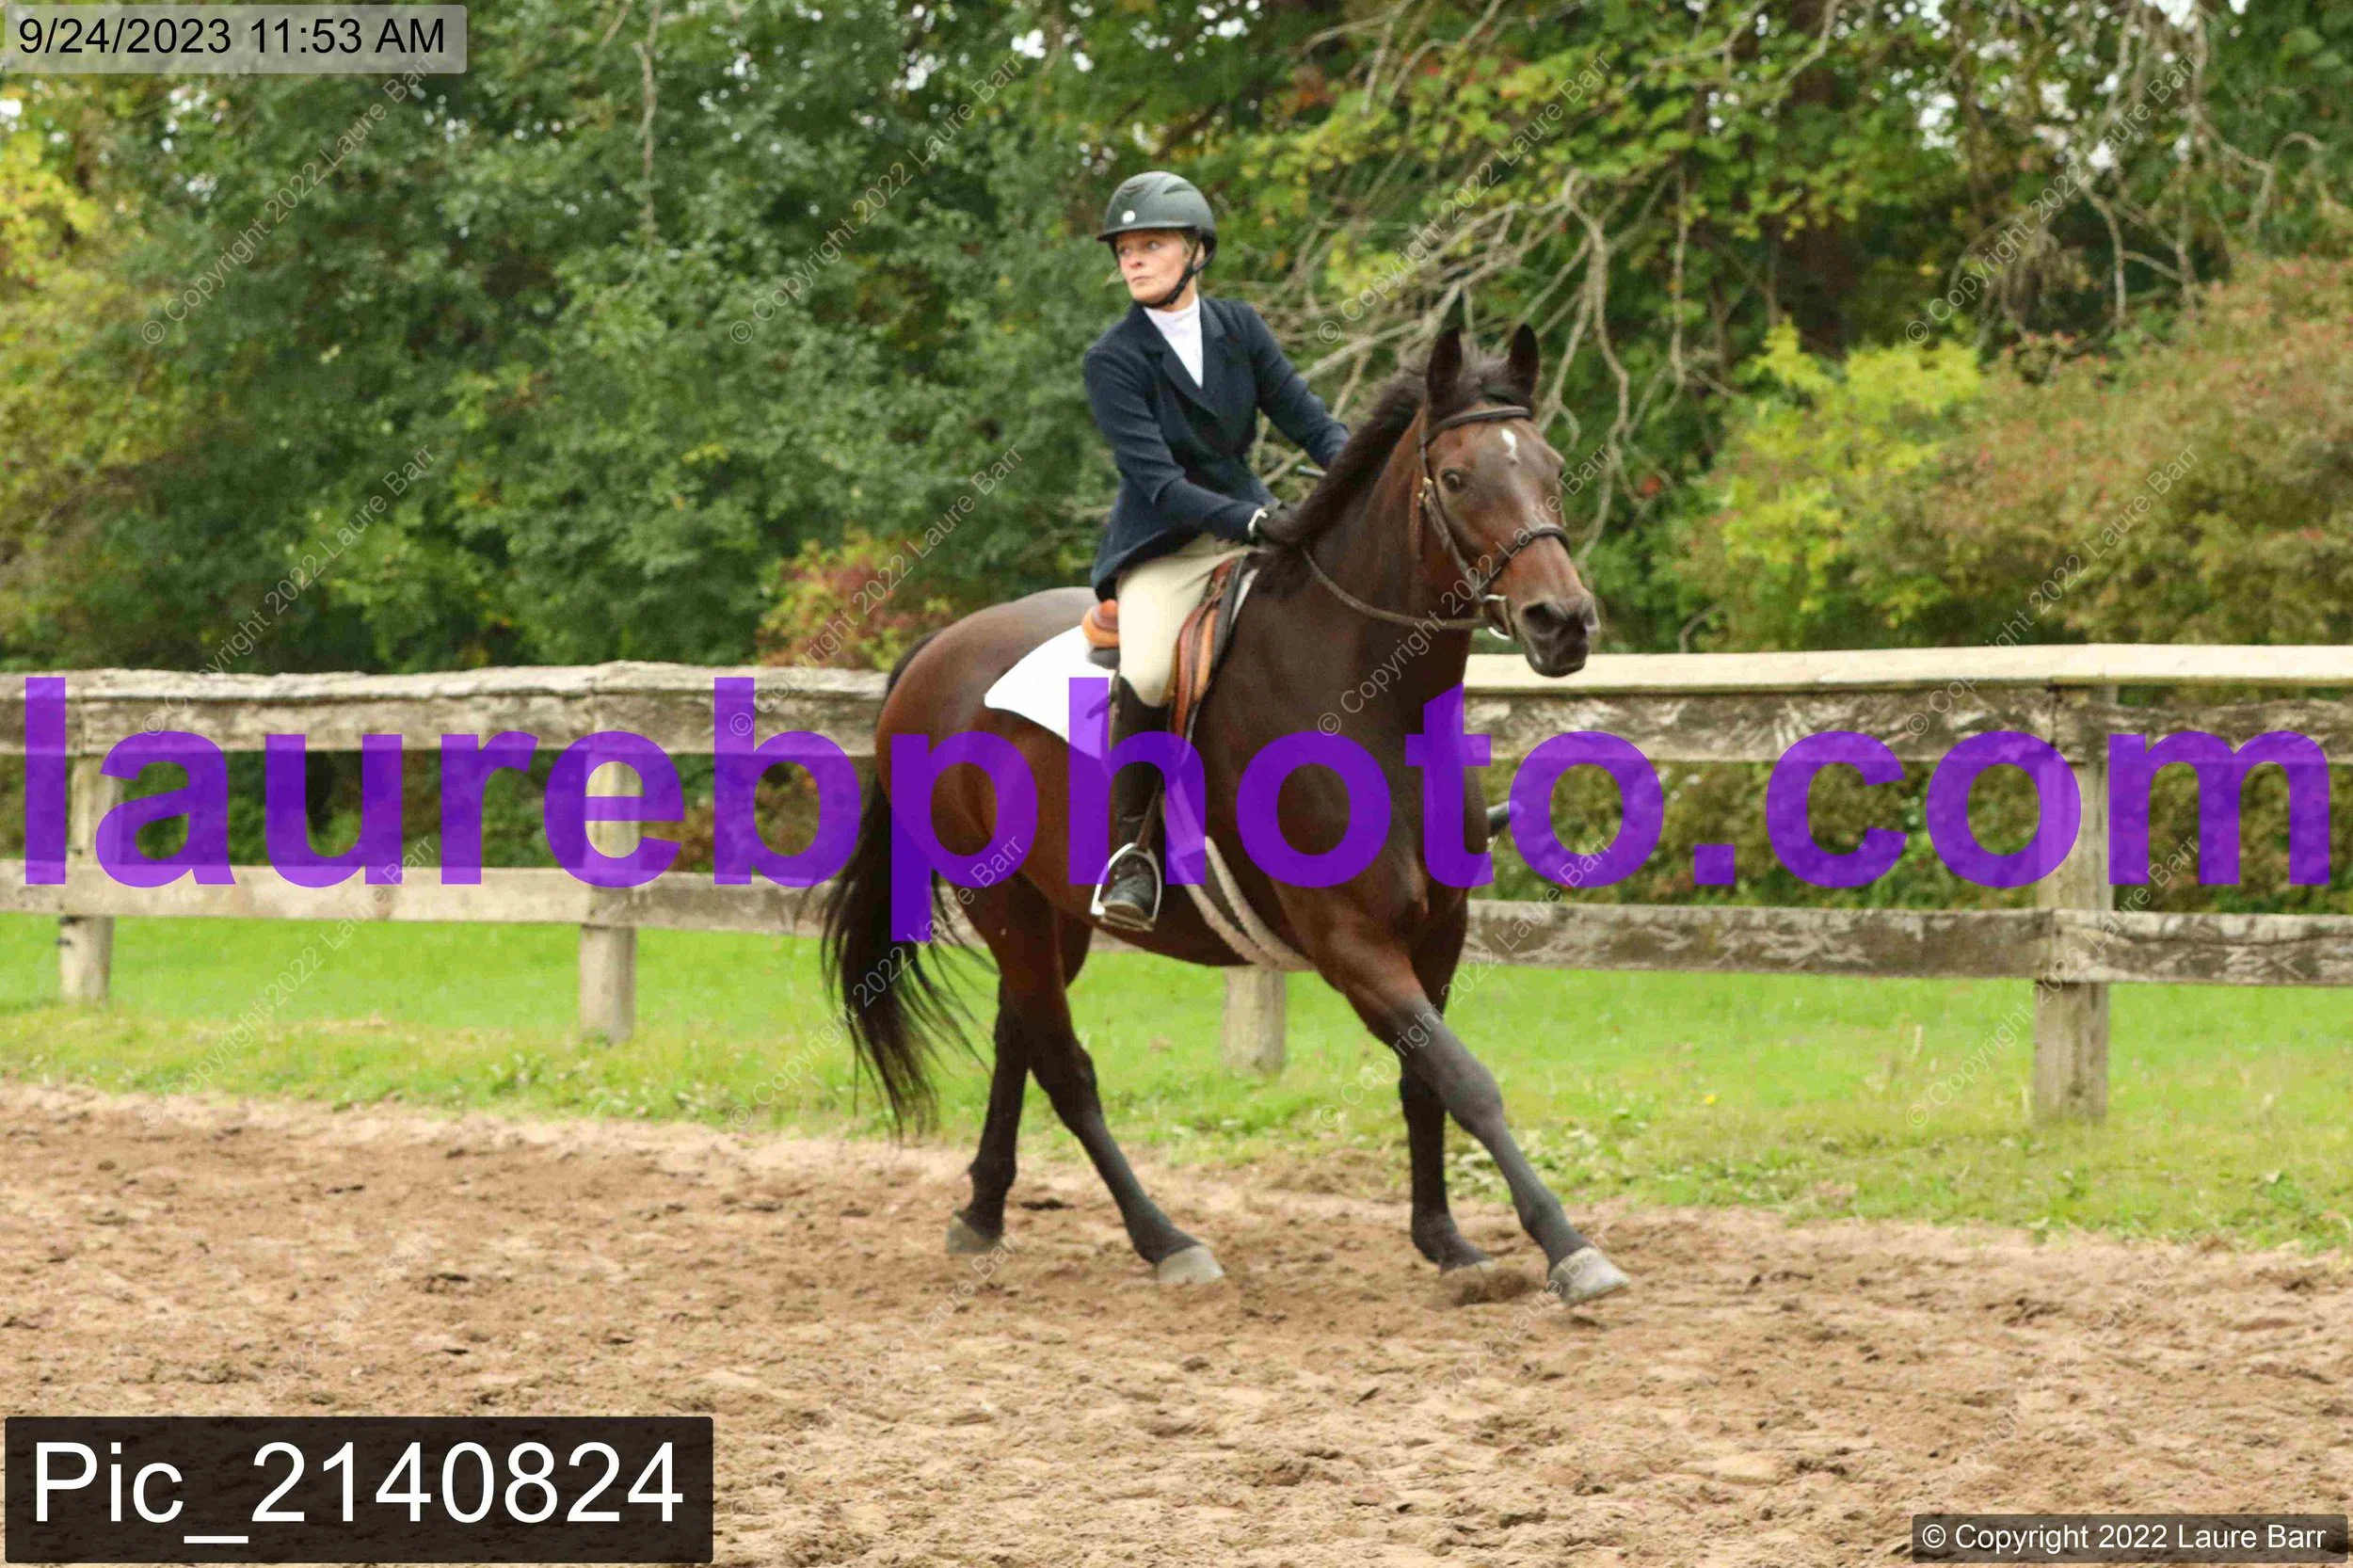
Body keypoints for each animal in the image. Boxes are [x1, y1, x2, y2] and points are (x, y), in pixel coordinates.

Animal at [820, 322, 1633, 1305]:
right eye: (1455, 478)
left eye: (1550, 467)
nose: (1563, 622)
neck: (1373, 701)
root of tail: (936, 650)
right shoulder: (1353, 946)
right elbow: (1465, 1079)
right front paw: (1568, 1247)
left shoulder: (1438, 935)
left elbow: (1425, 1081)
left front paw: (1446, 1240)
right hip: (1001, 901)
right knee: (1063, 1066)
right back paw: (1165, 1240)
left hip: (1054, 913)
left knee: (1020, 1040)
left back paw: (982, 1214)